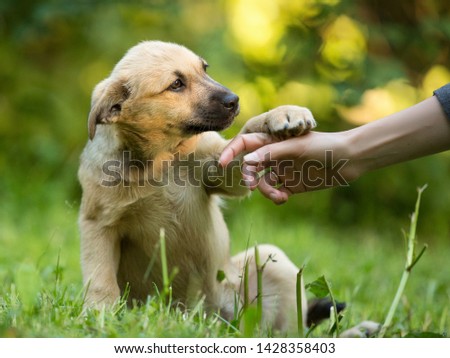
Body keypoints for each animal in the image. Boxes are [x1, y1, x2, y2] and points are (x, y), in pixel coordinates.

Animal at [77, 40, 316, 332]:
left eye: (204, 69)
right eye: (177, 84)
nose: (234, 100)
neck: (160, 160)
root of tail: (212, 319)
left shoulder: (221, 169)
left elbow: (245, 134)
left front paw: (281, 114)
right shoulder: (98, 223)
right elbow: (100, 280)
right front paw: (98, 315)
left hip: (272, 264)